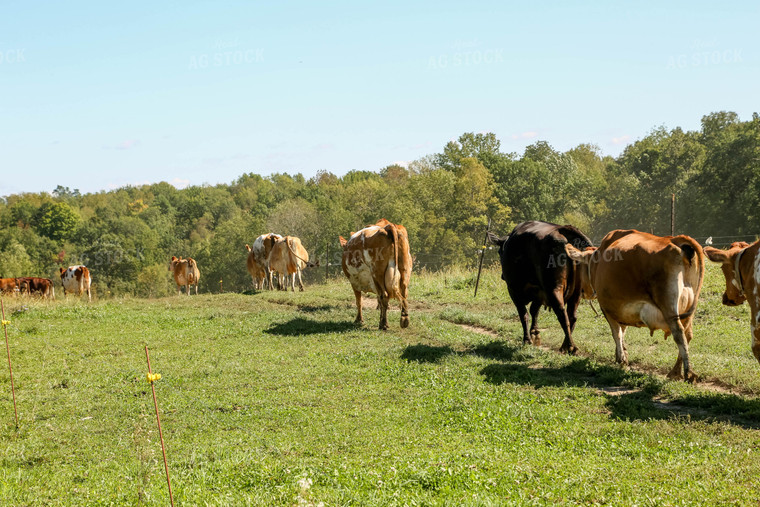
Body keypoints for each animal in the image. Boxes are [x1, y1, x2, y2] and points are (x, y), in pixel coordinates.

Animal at [486, 220, 592, 356]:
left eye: (499, 252)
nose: (502, 276)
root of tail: (562, 229)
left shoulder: (513, 290)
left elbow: (524, 314)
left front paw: (527, 340)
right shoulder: (539, 292)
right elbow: (534, 310)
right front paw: (535, 333)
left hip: (553, 288)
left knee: (562, 314)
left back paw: (569, 346)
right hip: (576, 291)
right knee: (572, 316)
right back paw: (564, 346)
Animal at [564, 230, 708, 380]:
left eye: (580, 267)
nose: (581, 290)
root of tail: (675, 240)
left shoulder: (607, 309)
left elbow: (617, 333)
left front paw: (621, 358)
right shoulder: (619, 309)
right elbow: (622, 331)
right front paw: (622, 355)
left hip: (668, 305)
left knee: (679, 333)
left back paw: (687, 372)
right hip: (689, 308)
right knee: (688, 334)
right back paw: (675, 371)